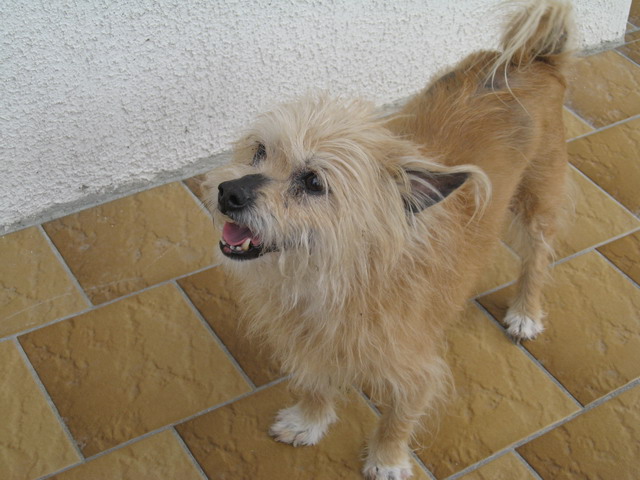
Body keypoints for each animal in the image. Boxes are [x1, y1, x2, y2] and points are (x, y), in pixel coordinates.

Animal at [204, 1, 568, 478]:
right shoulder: (311, 346)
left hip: (536, 203)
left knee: (537, 259)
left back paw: (526, 311)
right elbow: (315, 383)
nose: (228, 192)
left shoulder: (416, 370)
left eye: (313, 182)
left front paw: (388, 459)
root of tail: (531, 58)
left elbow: (399, 416)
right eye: (259, 151)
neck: (338, 278)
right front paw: (309, 420)